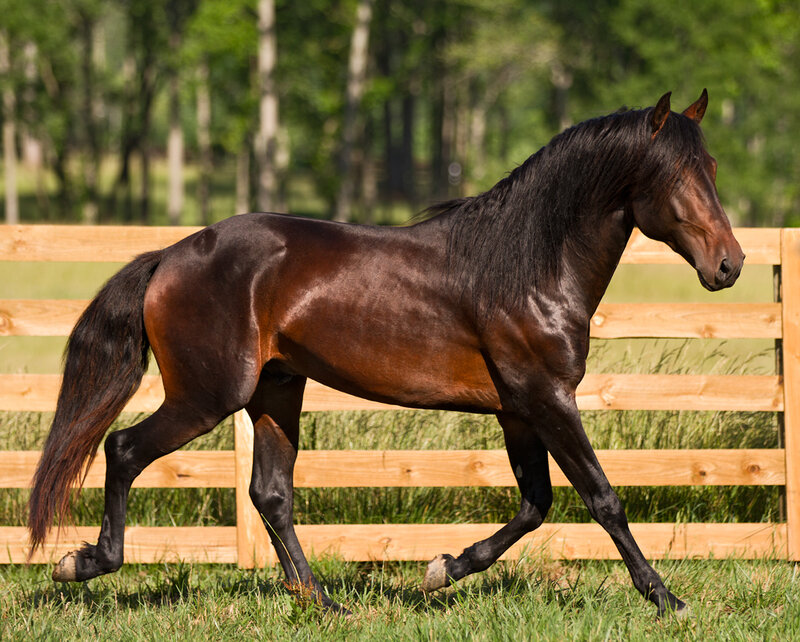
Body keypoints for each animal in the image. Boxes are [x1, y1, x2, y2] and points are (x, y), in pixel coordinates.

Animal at [28, 90, 743, 617]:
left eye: (712, 170)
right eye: (674, 175)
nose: (729, 265)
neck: (528, 267)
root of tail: (171, 255)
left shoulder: (519, 410)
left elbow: (534, 504)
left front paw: (442, 569)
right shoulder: (548, 400)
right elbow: (602, 497)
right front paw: (667, 599)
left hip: (276, 390)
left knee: (271, 494)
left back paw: (321, 602)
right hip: (207, 397)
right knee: (124, 451)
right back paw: (83, 562)